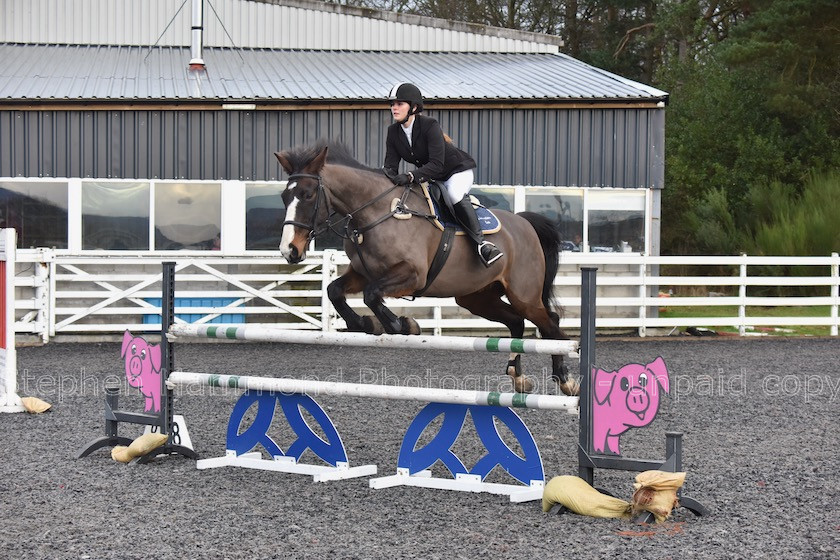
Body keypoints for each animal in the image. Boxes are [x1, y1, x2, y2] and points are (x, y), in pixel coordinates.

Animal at [274, 140, 576, 396]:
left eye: (308, 195)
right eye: (284, 197)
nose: (290, 251)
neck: (375, 212)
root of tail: (524, 224)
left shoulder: (412, 275)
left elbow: (372, 295)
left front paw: (403, 325)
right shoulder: (362, 273)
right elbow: (335, 290)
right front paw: (364, 323)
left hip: (523, 294)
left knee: (550, 323)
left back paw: (566, 380)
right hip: (477, 297)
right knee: (516, 322)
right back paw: (519, 377)